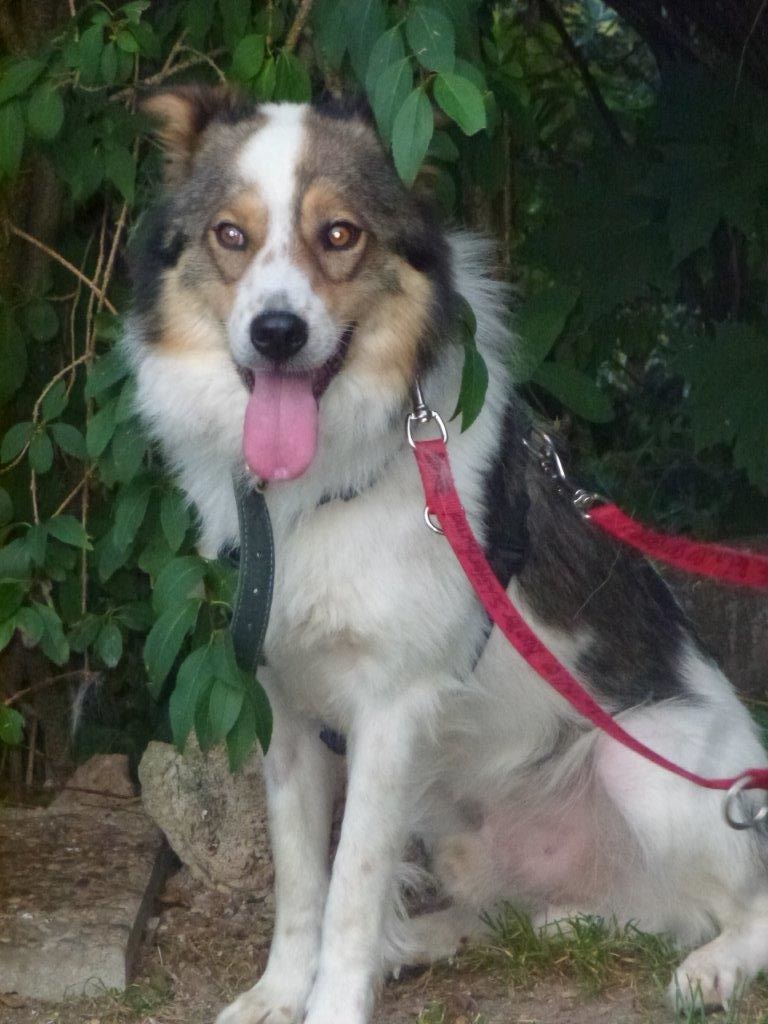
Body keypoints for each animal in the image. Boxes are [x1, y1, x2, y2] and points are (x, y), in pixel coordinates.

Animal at [126, 87, 768, 1024]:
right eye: (229, 235)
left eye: (340, 234)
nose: (276, 333)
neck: (329, 486)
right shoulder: (290, 715)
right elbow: (302, 885)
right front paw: (282, 990)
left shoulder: (389, 714)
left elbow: (352, 890)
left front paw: (333, 1001)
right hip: (460, 818)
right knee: (552, 912)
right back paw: (435, 939)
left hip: (652, 767)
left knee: (741, 907)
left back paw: (715, 964)